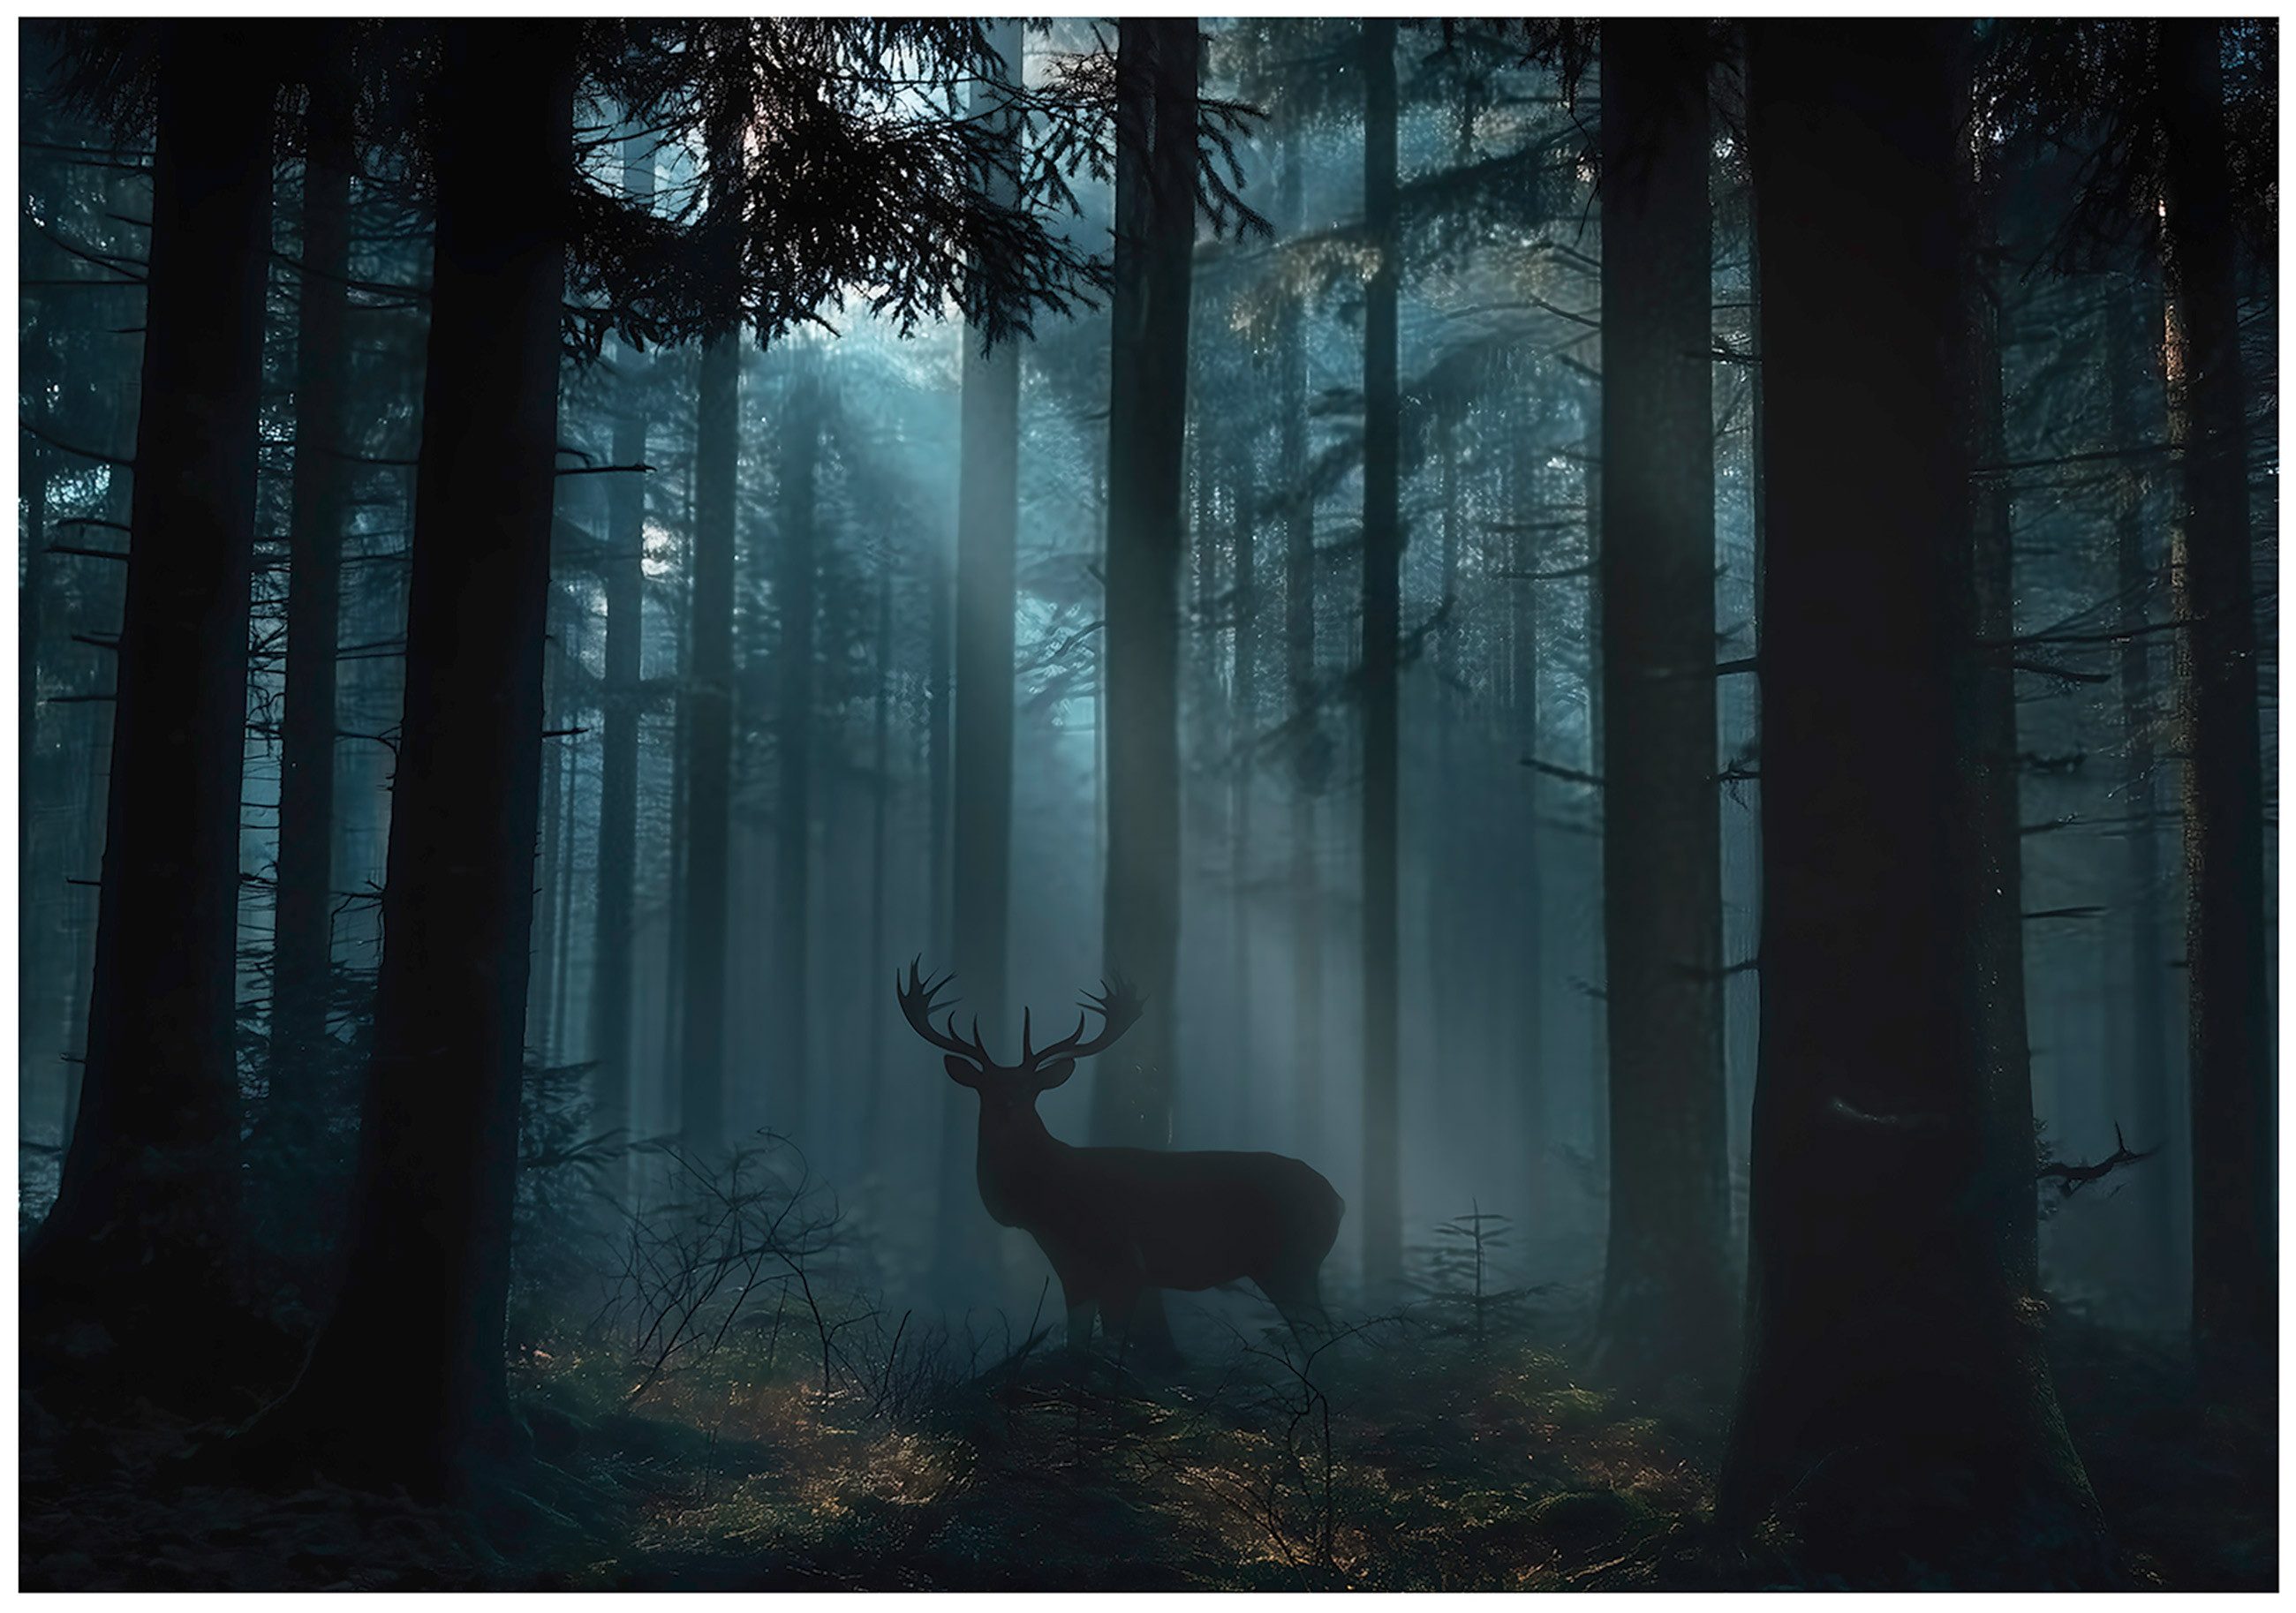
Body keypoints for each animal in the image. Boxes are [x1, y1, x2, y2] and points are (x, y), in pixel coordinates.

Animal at [898, 960, 1344, 1362]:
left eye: (1029, 1089)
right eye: (986, 1086)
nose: (1007, 1104)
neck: (1049, 1200)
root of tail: (1337, 1200)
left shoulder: (1125, 1262)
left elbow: (1112, 1348)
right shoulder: (1072, 1271)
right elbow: (1076, 1345)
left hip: (1290, 1261)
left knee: (1324, 1338)